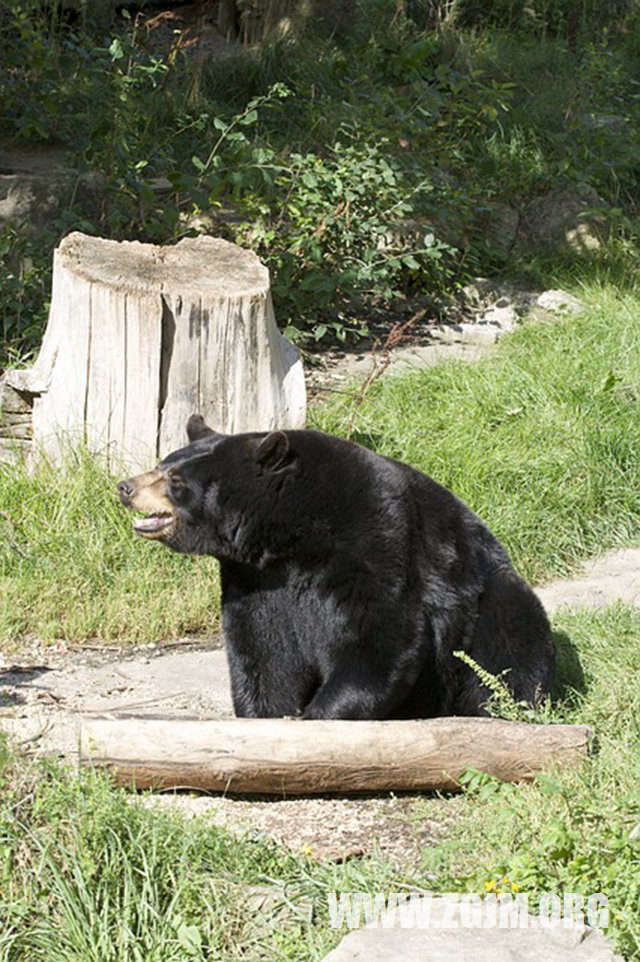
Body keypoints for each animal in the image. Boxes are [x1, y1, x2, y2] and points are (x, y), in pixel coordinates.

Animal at [119, 416, 556, 716]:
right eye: (162, 463)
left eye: (176, 480)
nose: (126, 487)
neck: (293, 535)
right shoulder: (253, 579)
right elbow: (262, 650)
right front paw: (266, 715)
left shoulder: (375, 543)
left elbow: (379, 640)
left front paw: (318, 716)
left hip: (486, 601)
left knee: (511, 639)